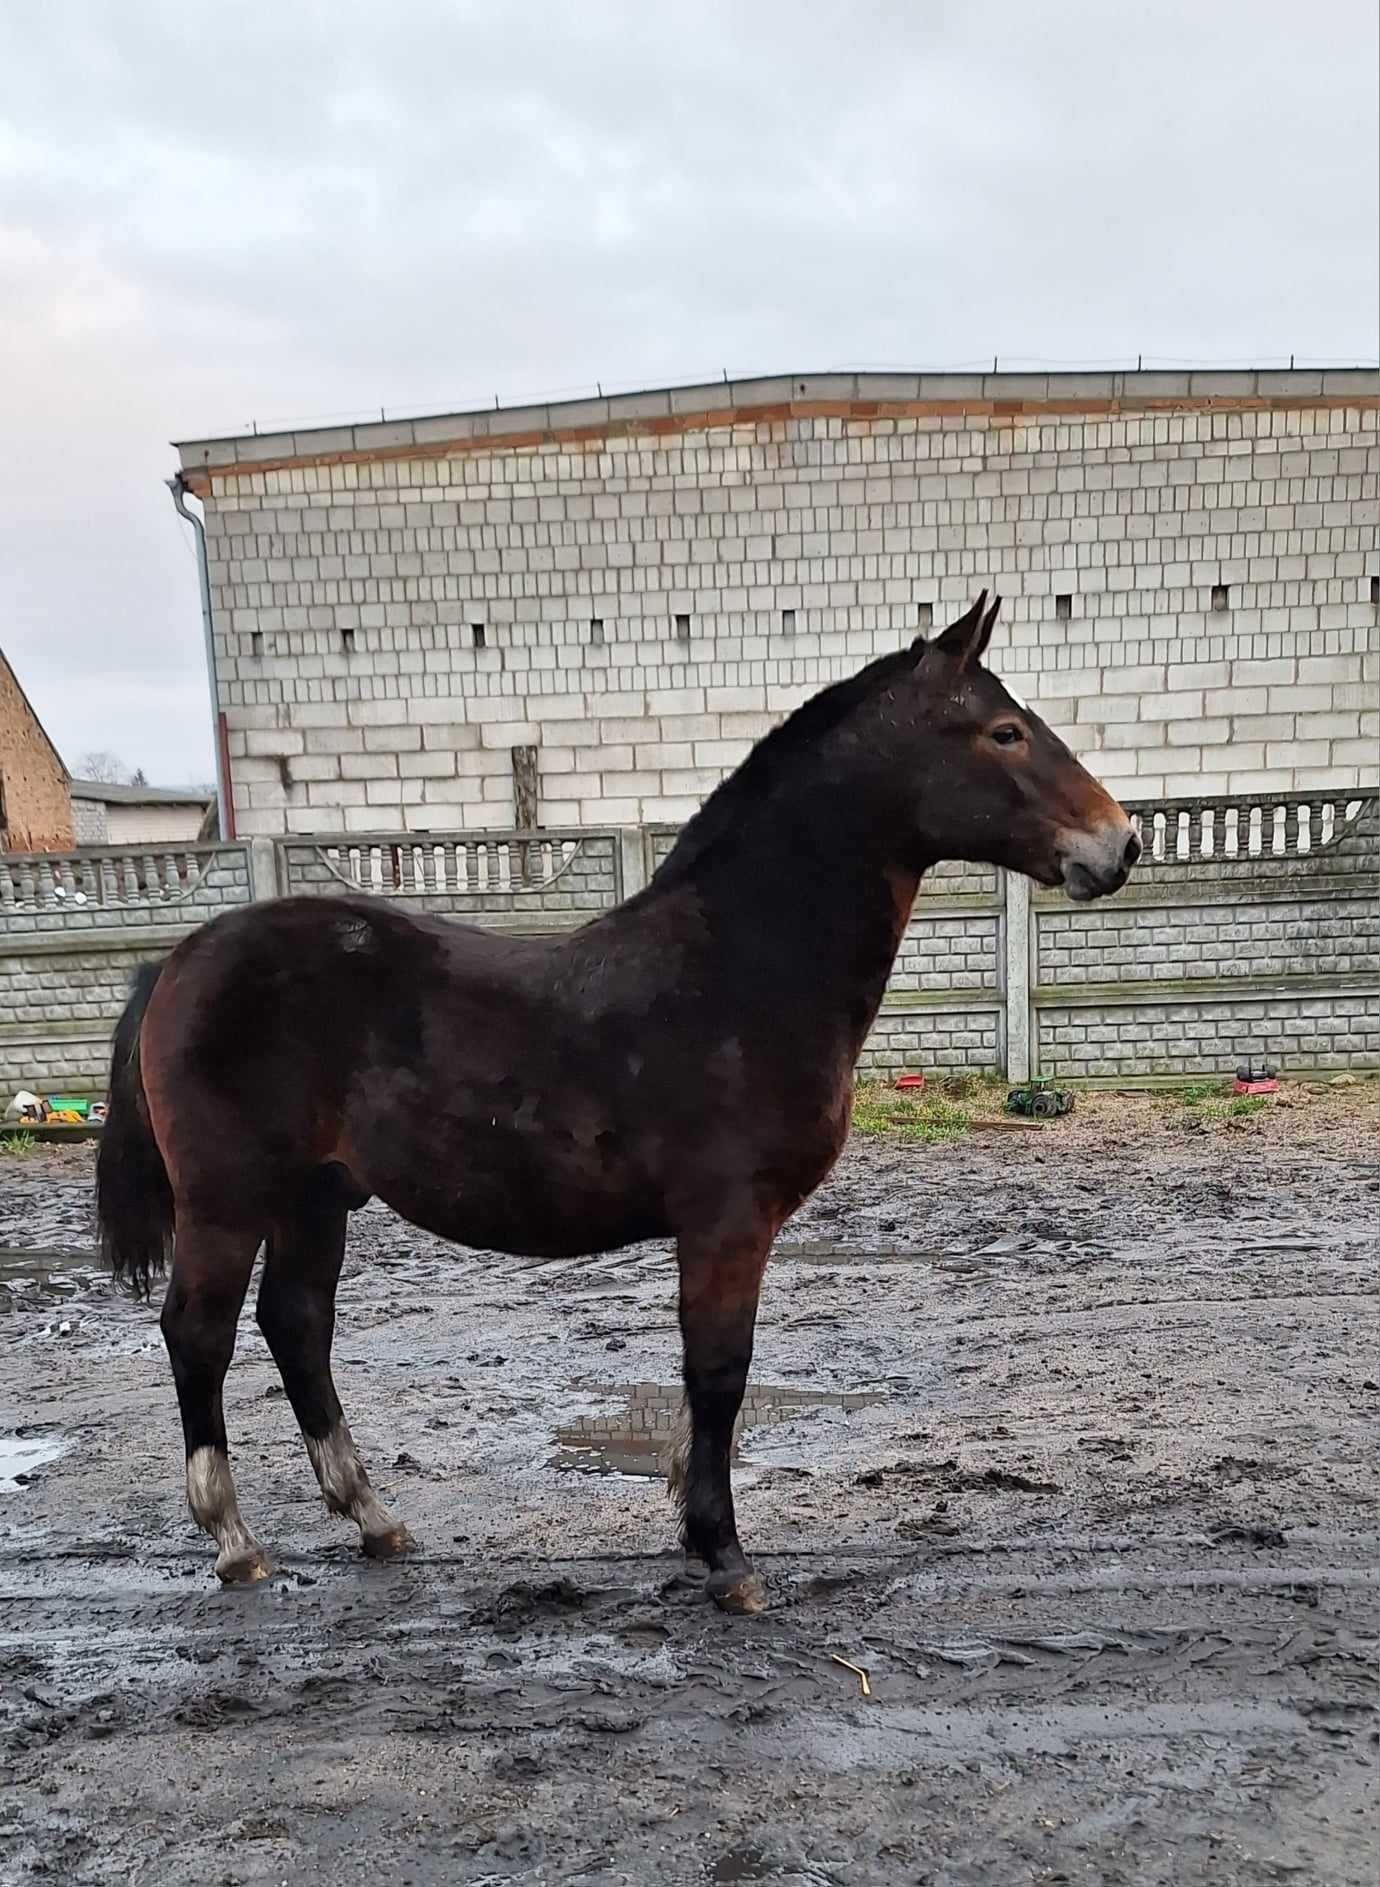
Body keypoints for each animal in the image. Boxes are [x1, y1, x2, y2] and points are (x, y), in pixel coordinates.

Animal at [94, 596, 1132, 1615]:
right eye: (1003, 731)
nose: (1118, 845)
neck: (741, 965)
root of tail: (179, 959)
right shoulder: (727, 1221)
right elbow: (718, 1371)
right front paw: (724, 1554)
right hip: (229, 1201)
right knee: (201, 1332)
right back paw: (235, 1540)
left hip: (315, 1199)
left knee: (298, 1326)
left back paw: (374, 1517)